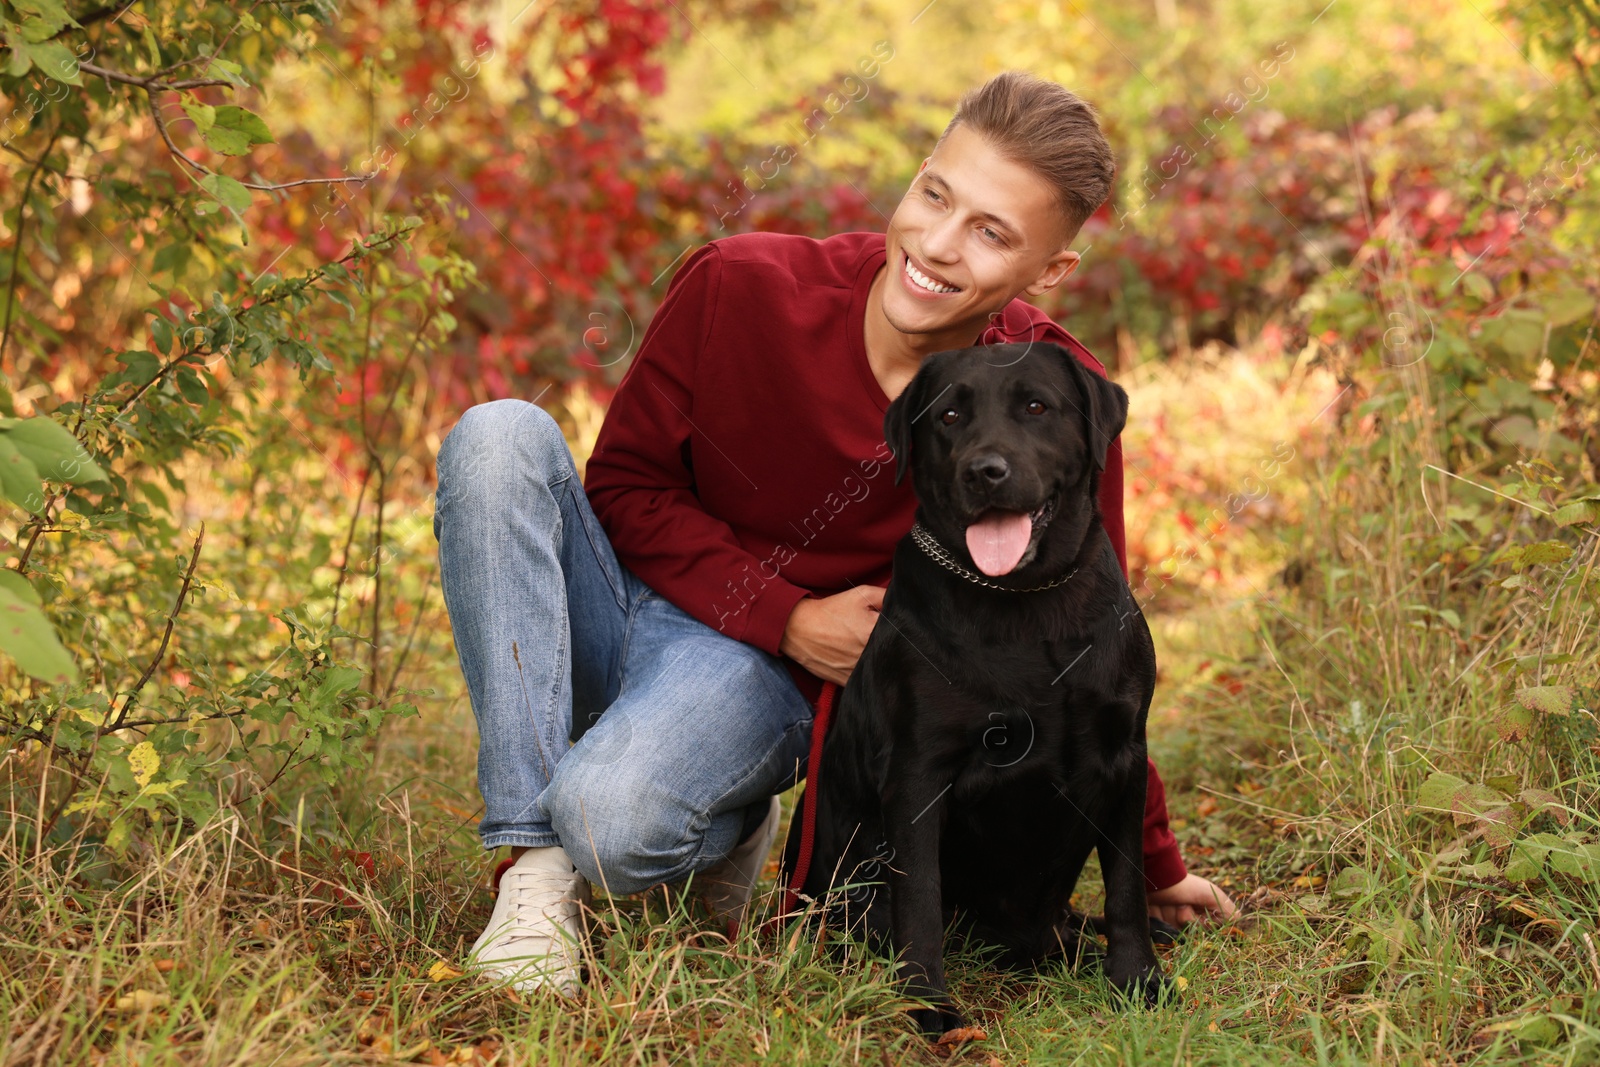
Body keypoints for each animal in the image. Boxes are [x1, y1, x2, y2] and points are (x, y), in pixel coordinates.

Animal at [780, 342, 1171, 1036]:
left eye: (1037, 406)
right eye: (950, 416)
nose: (984, 472)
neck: (1026, 601)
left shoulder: (1126, 750)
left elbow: (1127, 882)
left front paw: (1137, 979)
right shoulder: (918, 774)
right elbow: (920, 901)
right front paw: (927, 1004)